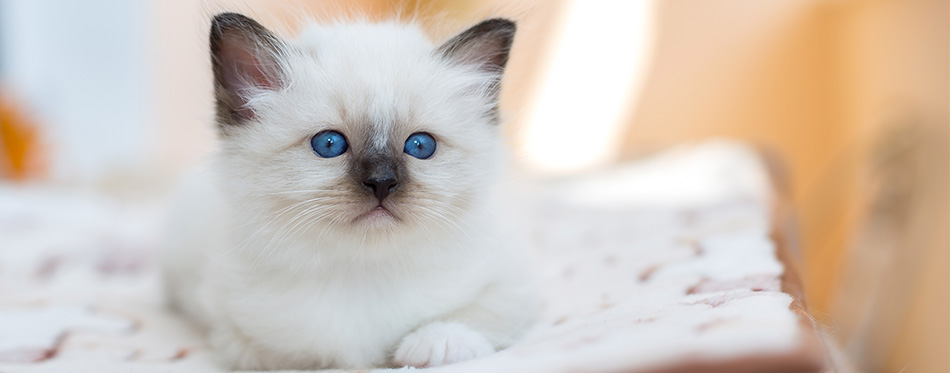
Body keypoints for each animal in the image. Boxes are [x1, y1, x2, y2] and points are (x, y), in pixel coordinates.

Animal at [161, 11, 540, 370]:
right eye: (329, 144)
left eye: (420, 146)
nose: (382, 182)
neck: (364, 274)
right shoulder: (236, 327)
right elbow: (284, 351)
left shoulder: (514, 283)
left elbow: (474, 319)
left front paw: (434, 346)